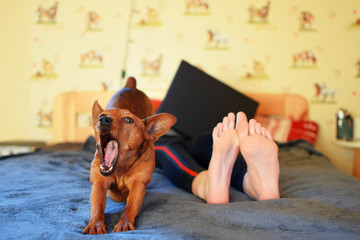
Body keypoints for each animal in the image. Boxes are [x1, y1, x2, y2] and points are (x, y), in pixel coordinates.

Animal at [83, 77, 176, 234]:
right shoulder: (99, 183)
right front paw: (96, 224)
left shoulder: (138, 184)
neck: (119, 168)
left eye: (129, 120)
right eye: (101, 116)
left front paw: (124, 223)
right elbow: (96, 207)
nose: (103, 119)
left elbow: (130, 207)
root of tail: (131, 86)